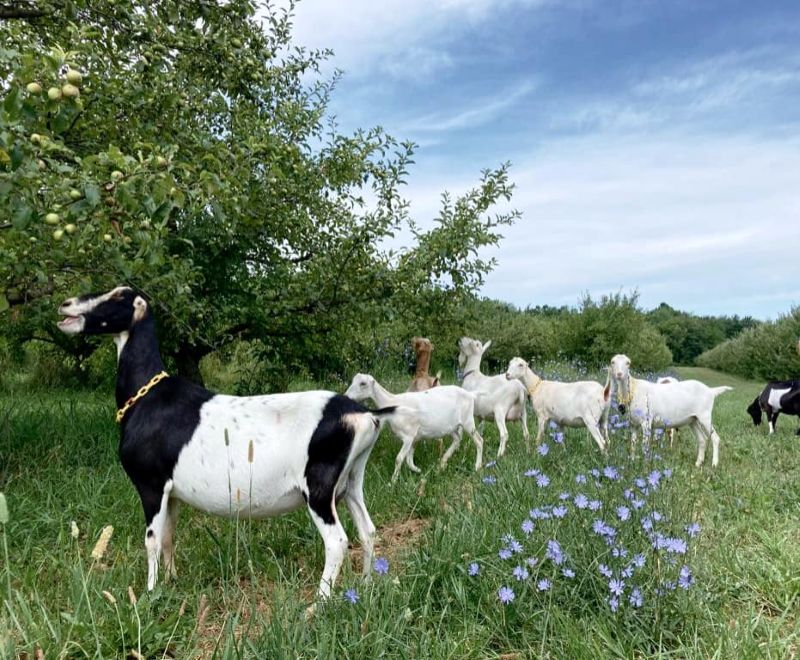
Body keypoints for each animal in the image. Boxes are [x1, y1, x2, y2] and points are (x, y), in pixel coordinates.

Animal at [57, 286, 395, 602]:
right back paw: (366, 585)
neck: (147, 395)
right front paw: (171, 581)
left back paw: (318, 603)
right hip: (350, 482)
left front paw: (149, 594)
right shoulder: (171, 491)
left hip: (319, 488)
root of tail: (363, 414)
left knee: (337, 541)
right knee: (367, 530)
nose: (66, 304)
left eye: (118, 296)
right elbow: (168, 536)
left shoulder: (151, 484)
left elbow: (151, 539)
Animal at [345, 374, 484, 481]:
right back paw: (441, 464)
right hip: (450, 426)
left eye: (363, 383)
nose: (347, 396)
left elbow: (399, 459)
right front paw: (417, 470)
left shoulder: (408, 436)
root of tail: (470, 394)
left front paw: (393, 482)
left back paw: (477, 467)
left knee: (479, 440)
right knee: (457, 439)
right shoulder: (414, 437)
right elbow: (409, 459)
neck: (393, 402)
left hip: (467, 421)